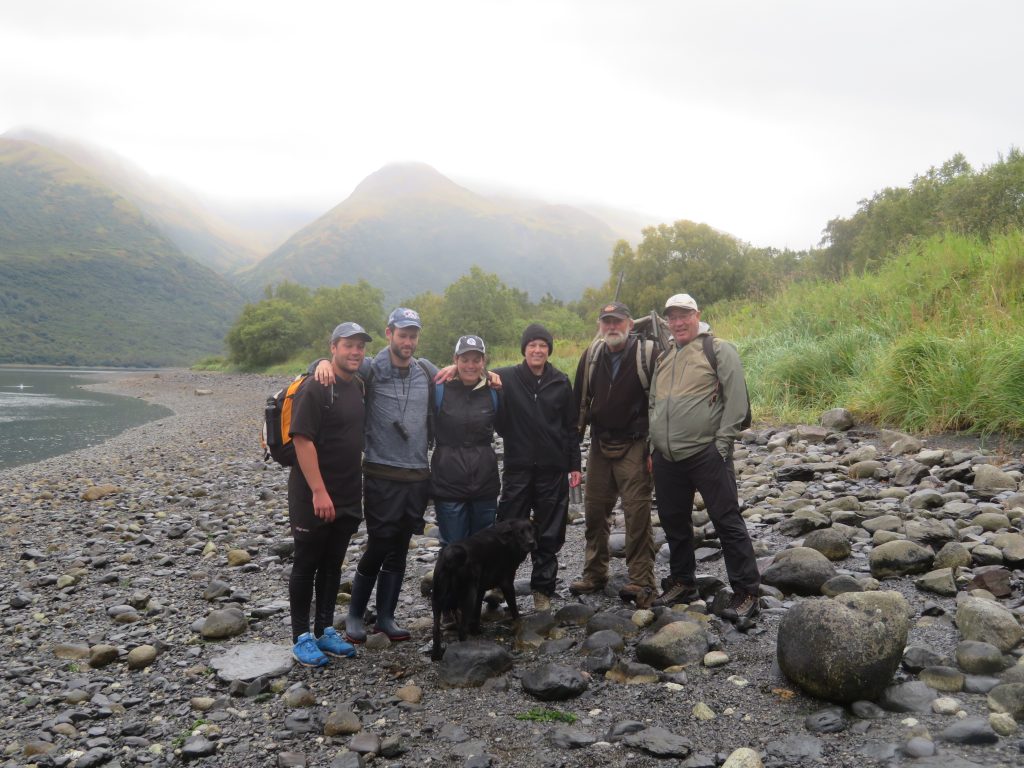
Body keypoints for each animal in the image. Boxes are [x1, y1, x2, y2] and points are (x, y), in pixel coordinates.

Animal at [430, 520, 536, 663]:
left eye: (531, 530)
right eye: (520, 533)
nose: (532, 543)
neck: (507, 539)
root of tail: (450, 556)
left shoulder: (480, 590)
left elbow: (477, 612)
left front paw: (476, 630)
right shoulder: (506, 583)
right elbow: (514, 609)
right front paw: (519, 624)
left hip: (437, 598)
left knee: (436, 629)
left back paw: (436, 655)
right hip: (468, 597)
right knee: (461, 629)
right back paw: (464, 649)